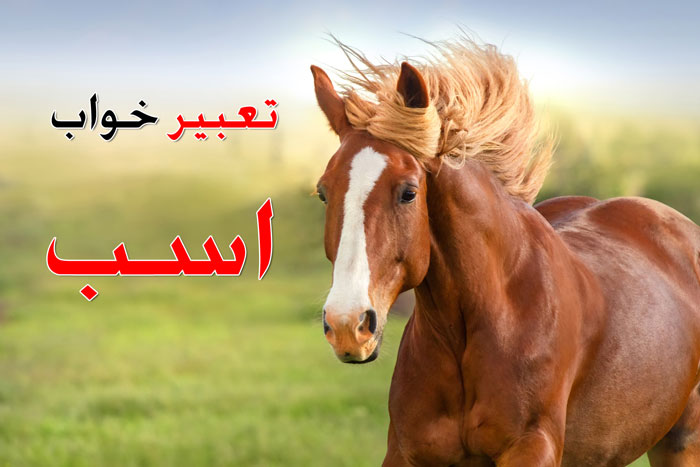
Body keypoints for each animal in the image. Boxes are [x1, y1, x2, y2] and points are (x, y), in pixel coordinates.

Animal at [310, 37, 700, 466]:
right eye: (323, 192)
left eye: (409, 192)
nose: (346, 326)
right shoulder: (405, 452)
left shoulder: (532, 447)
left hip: (680, 441)